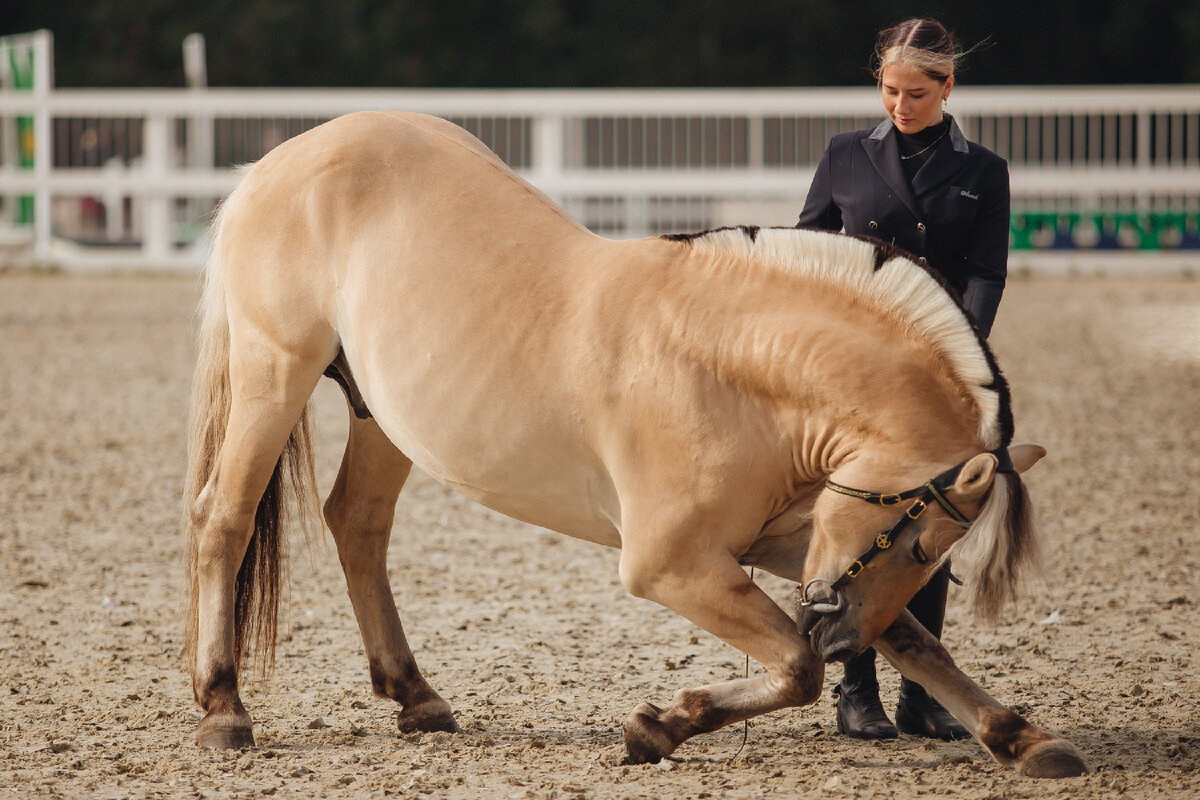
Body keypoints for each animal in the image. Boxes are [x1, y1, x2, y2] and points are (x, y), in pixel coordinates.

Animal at [184, 109, 1089, 777]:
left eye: (936, 554)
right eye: (912, 539)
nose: (840, 637)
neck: (734, 366)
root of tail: (281, 158)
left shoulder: (789, 540)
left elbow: (914, 641)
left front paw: (1021, 737)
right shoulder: (674, 564)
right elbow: (796, 666)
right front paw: (660, 724)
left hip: (382, 415)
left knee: (359, 524)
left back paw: (417, 697)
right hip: (274, 370)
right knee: (222, 518)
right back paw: (225, 708)